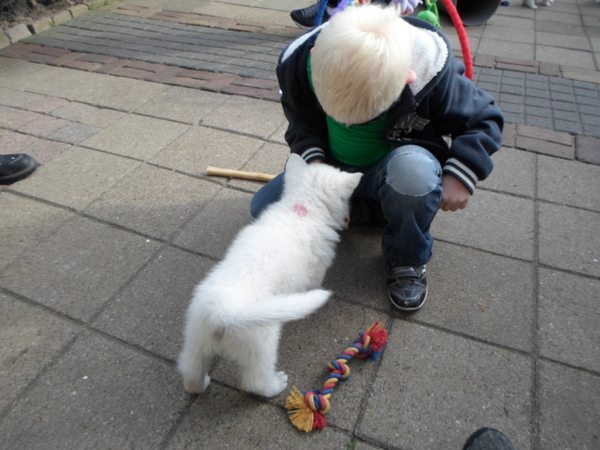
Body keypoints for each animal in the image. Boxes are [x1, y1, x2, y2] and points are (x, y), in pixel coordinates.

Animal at [178, 155, 360, 398]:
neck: (301, 210)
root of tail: (222, 314)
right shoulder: (316, 270)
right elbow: (313, 284)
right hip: (261, 344)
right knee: (255, 381)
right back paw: (276, 385)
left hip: (196, 338)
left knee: (190, 372)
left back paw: (202, 383)